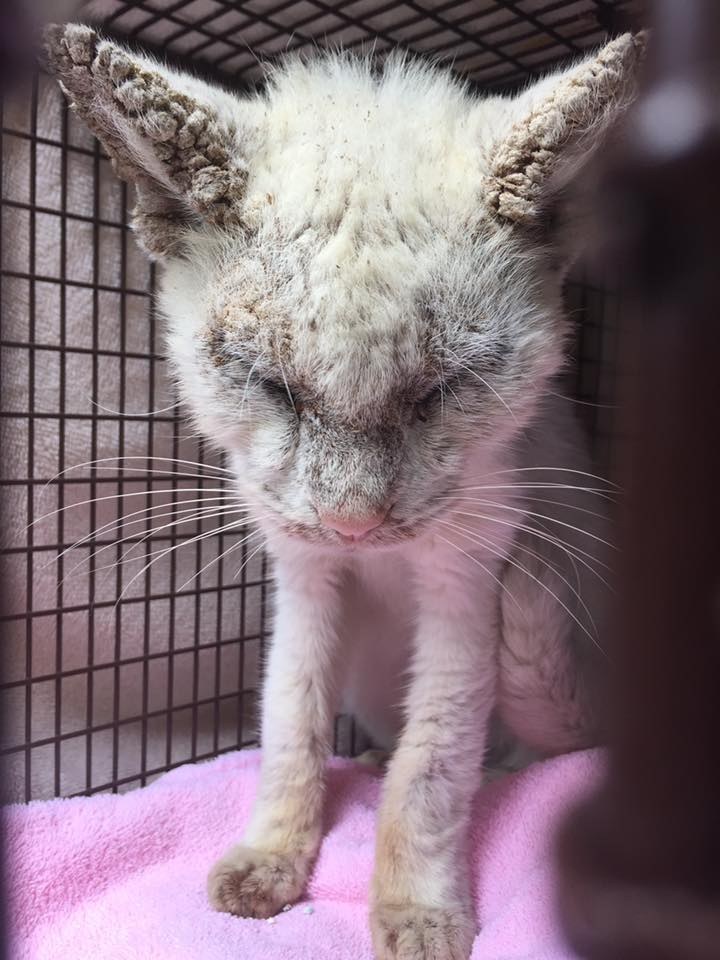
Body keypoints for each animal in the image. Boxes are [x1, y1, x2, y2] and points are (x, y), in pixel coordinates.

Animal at [47, 24, 644, 960]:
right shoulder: (302, 577)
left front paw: (420, 911)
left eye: (444, 389)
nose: (354, 524)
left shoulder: (467, 587)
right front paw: (271, 861)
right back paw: (361, 763)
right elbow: (290, 729)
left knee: (524, 757)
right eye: (272, 388)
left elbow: (432, 773)